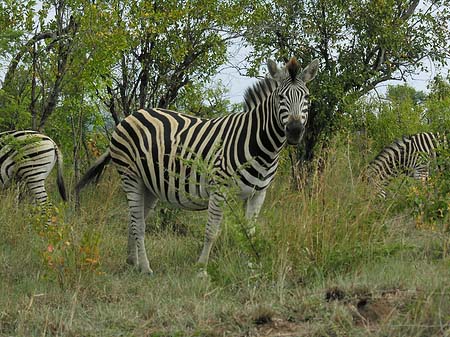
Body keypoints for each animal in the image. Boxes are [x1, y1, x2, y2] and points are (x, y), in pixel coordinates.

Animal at [75, 56, 318, 274]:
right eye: (280, 97)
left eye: (306, 97)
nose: (295, 131)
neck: (261, 147)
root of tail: (132, 115)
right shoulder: (219, 190)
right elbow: (211, 231)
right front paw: (201, 269)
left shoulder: (258, 193)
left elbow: (250, 232)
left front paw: (251, 268)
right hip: (130, 175)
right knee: (139, 225)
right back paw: (145, 267)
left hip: (149, 184)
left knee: (134, 220)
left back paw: (131, 262)